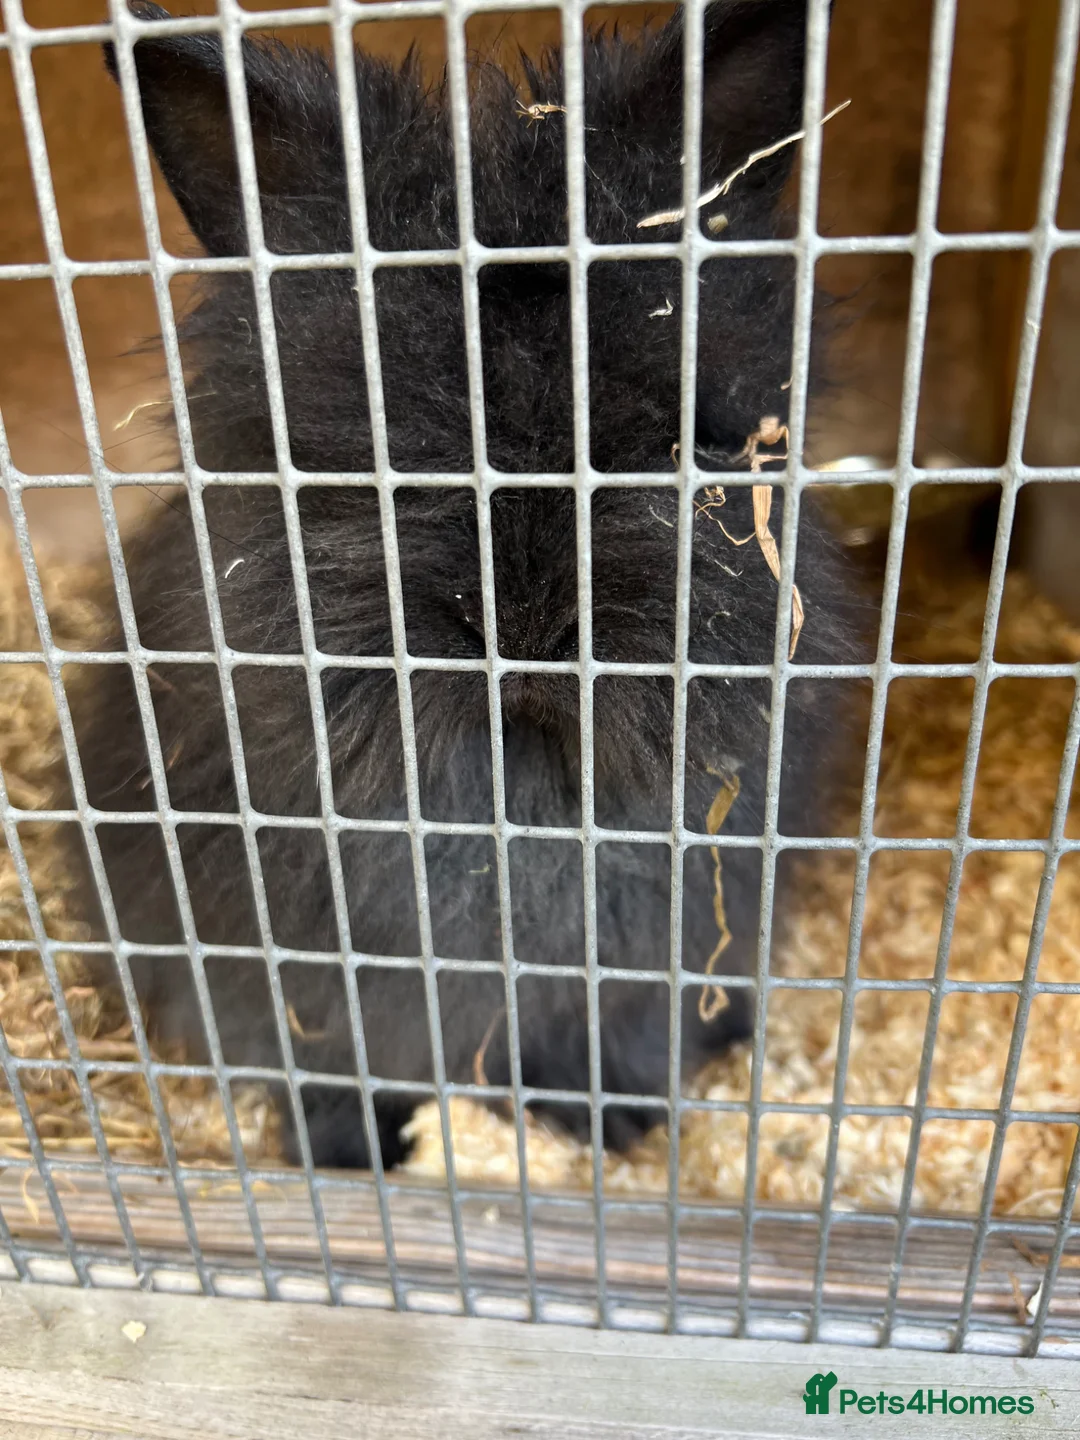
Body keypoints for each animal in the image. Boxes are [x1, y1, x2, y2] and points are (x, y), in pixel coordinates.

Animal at [66, 0, 865, 1171]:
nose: (523, 629)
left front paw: (612, 1132)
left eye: (668, 440)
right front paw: (355, 1156)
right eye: (371, 452)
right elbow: (330, 1054)